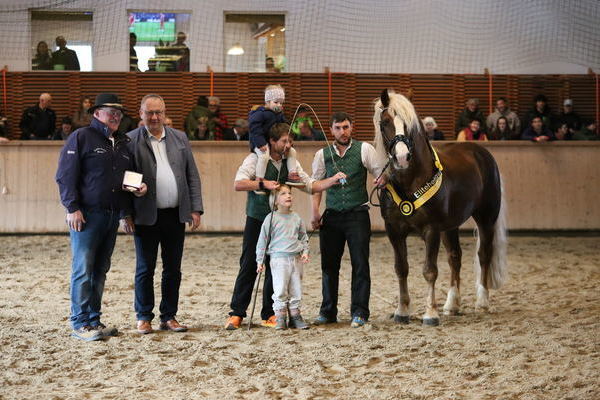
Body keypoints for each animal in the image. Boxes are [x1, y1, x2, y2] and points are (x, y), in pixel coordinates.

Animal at [376, 90, 506, 324]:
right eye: (384, 123)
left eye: (409, 125)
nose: (402, 157)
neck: (411, 181)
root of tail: (482, 153)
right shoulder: (394, 231)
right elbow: (401, 269)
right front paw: (402, 311)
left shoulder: (432, 230)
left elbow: (430, 271)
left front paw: (430, 314)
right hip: (450, 226)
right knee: (455, 257)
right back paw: (452, 305)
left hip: (486, 217)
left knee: (484, 254)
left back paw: (482, 302)